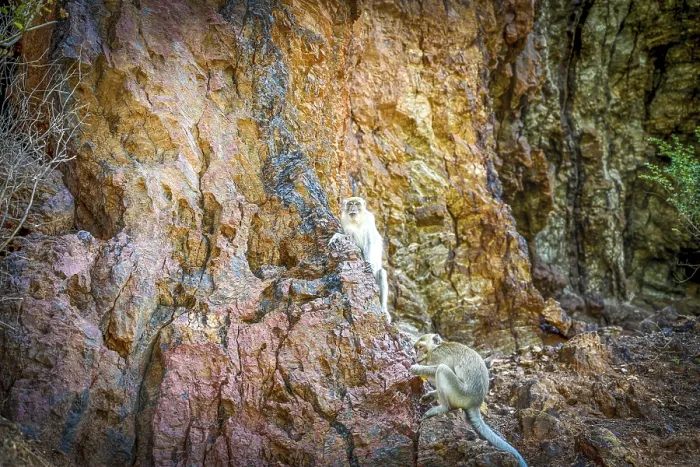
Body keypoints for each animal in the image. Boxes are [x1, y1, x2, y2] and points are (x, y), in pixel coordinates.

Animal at [411, 334, 528, 467]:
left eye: (420, 347)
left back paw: (443, 407)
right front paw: (429, 396)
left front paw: (415, 368)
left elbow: (438, 368)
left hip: (461, 393)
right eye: (416, 348)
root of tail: (476, 403)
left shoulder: (438, 356)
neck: (435, 348)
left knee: (442, 369)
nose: (416, 355)